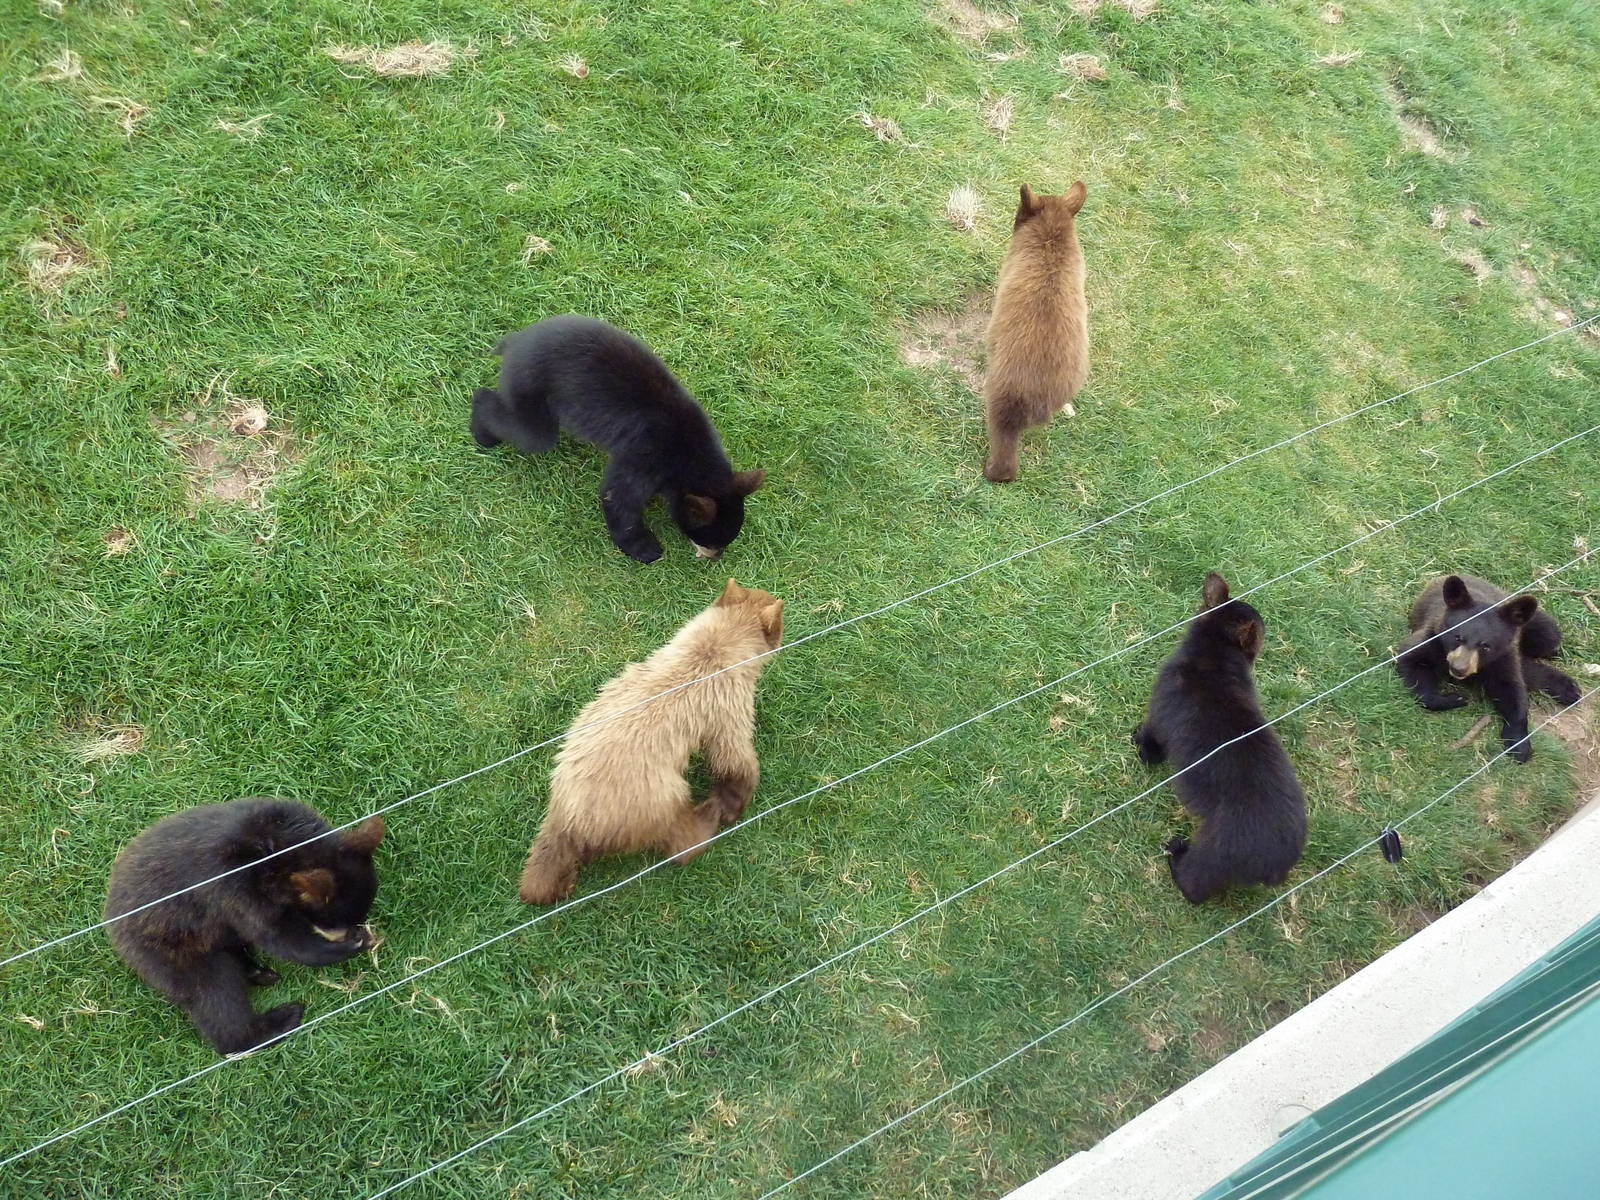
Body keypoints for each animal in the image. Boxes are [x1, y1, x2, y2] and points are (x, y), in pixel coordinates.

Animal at [105, 798, 383, 1054]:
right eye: (332, 923)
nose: (356, 932)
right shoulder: (235, 887)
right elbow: (281, 938)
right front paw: (352, 944)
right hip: (170, 948)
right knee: (215, 994)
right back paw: (279, 1019)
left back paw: (257, 972)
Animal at [471, 314, 765, 563]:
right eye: (712, 540)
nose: (715, 557)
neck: (690, 454)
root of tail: (516, 340)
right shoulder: (647, 454)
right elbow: (619, 497)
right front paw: (646, 549)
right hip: (530, 386)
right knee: (530, 432)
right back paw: (481, 428)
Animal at [519, 578, 783, 904]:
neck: (712, 652)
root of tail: (570, 820)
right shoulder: (726, 708)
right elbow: (733, 758)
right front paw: (734, 803)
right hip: (655, 796)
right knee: (680, 840)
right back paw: (706, 814)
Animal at [1133, 573, 1308, 903]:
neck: (1213, 657)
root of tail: (1276, 867)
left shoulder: (1158, 718)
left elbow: (1149, 741)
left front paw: (1139, 744)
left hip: (1210, 856)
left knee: (1193, 887)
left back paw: (1176, 853)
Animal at [1395, 573, 1580, 763]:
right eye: (1457, 637)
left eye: (1486, 646)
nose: (1458, 668)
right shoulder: (1432, 638)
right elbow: (1411, 660)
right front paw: (1456, 698)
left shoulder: (1502, 657)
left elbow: (1511, 691)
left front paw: (1519, 746)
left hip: (1535, 629)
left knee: (1548, 638)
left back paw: (1569, 688)